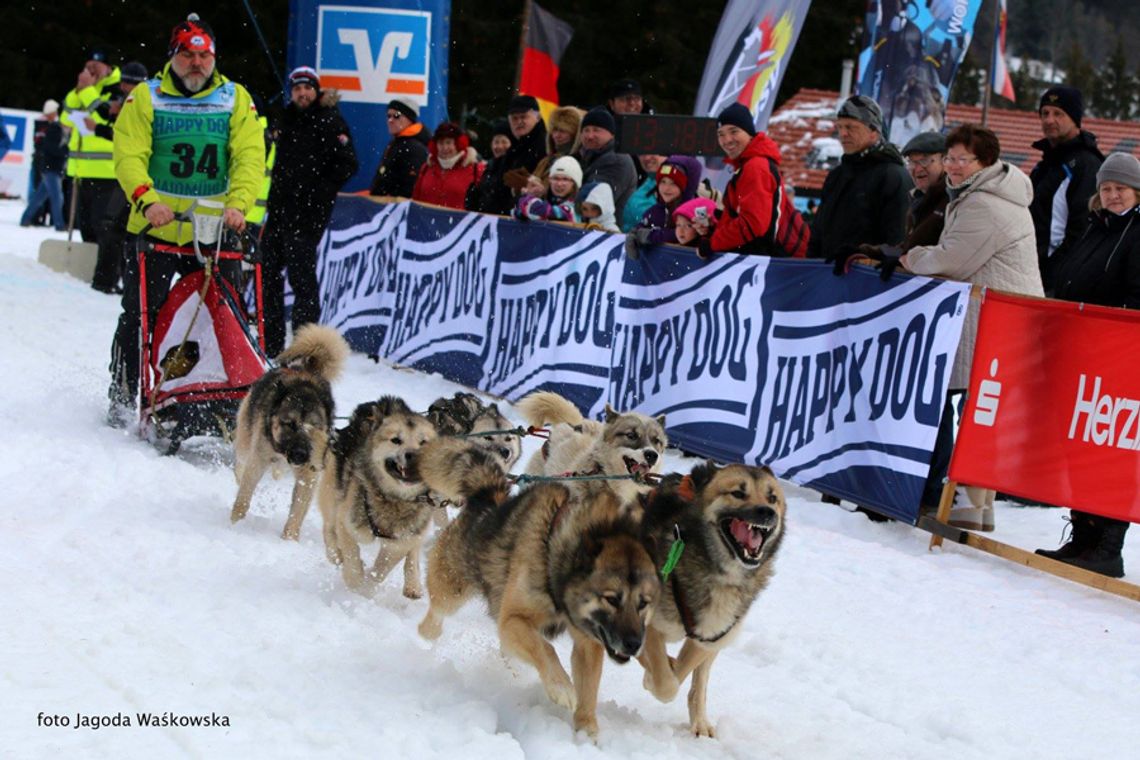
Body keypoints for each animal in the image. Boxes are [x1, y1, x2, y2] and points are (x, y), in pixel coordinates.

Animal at [224, 323, 344, 540]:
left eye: (313, 428)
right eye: (290, 424)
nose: (301, 454)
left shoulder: (309, 473)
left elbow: (297, 511)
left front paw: (289, 539)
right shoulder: (258, 460)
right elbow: (243, 497)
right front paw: (235, 524)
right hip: (246, 442)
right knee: (240, 462)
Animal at [319, 396, 437, 597]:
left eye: (423, 442)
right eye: (396, 440)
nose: (413, 455)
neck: (394, 499)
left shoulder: (400, 542)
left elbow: (382, 570)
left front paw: (367, 586)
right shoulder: (347, 522)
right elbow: (351, 555)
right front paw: (355, 582)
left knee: (415, 548)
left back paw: (413, 583)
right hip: (333, 493)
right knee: (329, 527)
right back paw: (335, 554)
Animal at [414, 437, 661, 738]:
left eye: (643, 603)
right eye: (612, 599)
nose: (634, 644)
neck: (553, 549)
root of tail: (489, 497)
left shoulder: (588, 640)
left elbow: (589, 686)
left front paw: (586, 730)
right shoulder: (514, 620)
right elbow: (546, 649)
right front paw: (561, 687)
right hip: (453, 585)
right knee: (437, 611)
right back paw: (427, 633)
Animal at [638, 460, 788, 738]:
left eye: (772, 498)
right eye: (738, 493)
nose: (767, 512)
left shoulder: (708, 635)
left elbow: (679, 675)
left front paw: (660, 672)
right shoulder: (648, 623)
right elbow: (666, 683)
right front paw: (653, 676)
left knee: (699, 682)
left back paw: (699, 721)